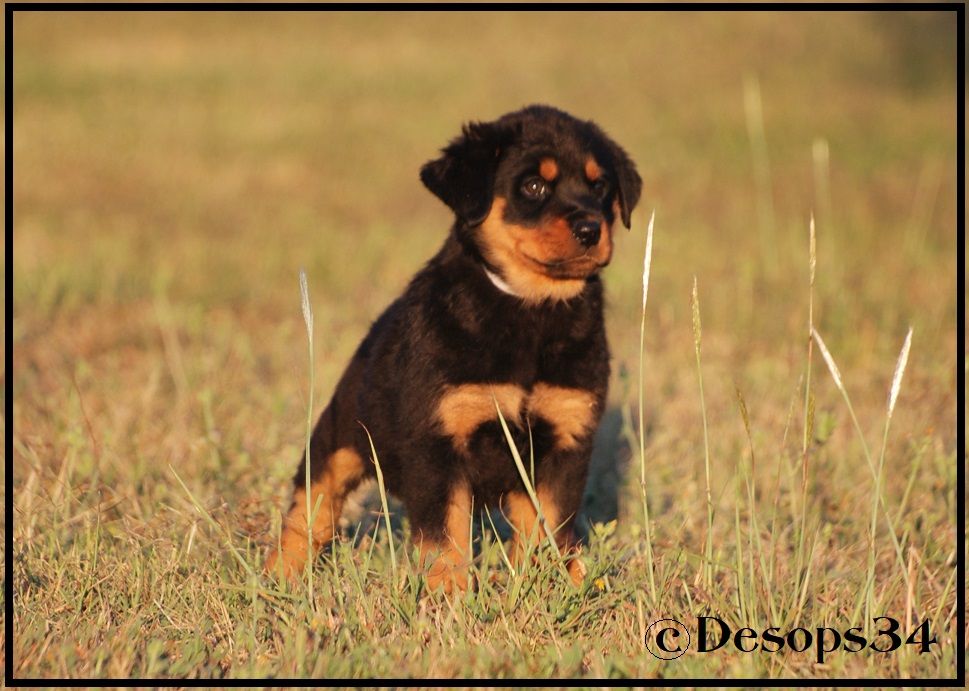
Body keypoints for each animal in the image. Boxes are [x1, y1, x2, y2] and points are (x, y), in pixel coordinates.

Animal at [266, 105, 644, 592]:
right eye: (533, 186)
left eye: (600, 187)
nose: (589, 228)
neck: (530, 308)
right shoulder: (438, 441)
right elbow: (446, 533)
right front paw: (446, 592)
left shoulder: (566, 437)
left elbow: (550, 525)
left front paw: (556, 584)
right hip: (341, 436)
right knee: (310, 505)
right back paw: (281, 573)